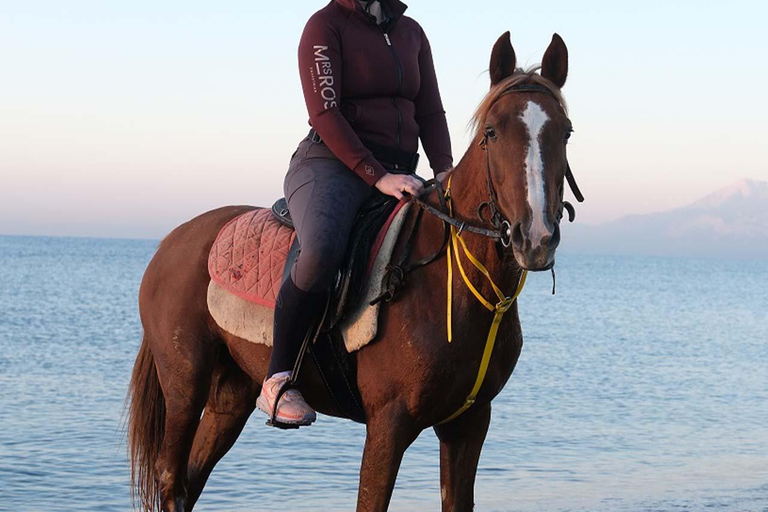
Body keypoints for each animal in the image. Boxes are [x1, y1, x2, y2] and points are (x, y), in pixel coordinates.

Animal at [127, 31, 575, 512]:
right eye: (492, 132)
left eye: (565, 132)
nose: (536, 236)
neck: (450, 286)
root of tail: (170, 243)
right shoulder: (388, 425)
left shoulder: (469, 423)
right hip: (184, 385)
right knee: (171, 477)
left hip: (231, 394)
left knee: (190, 480)